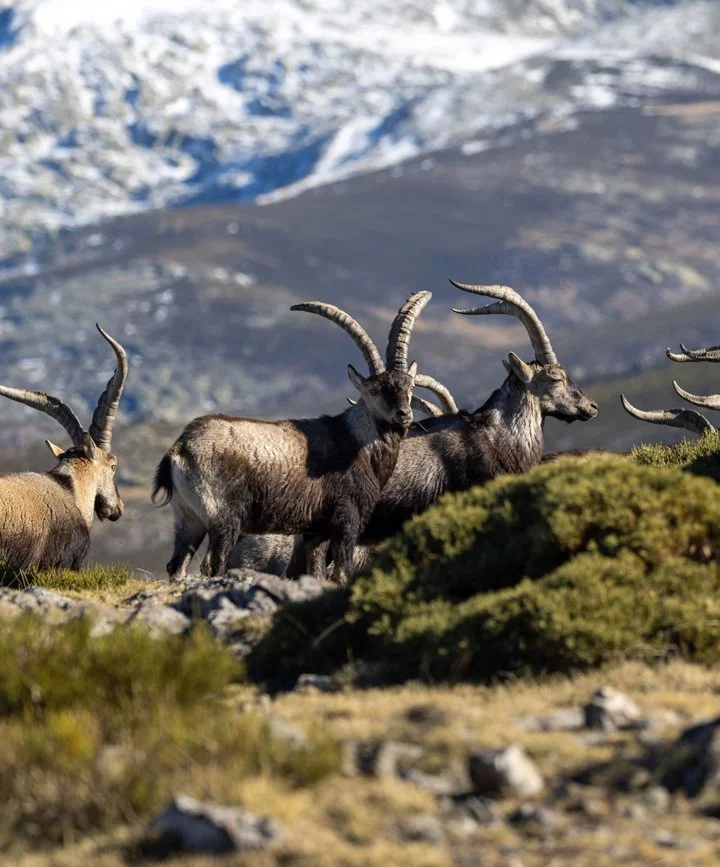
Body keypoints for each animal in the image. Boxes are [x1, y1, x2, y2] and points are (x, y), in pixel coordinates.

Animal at [153, 292, 430, 582]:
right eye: (374, 390)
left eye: (409, 386)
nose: (403, 414)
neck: (359, 442)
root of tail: (180, 449)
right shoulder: (346, 518)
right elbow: (342, 570)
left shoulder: (314, 532)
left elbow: (314, 571)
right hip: (223, 519)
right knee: (213, 563)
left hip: (187, 518)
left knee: (177, 564)